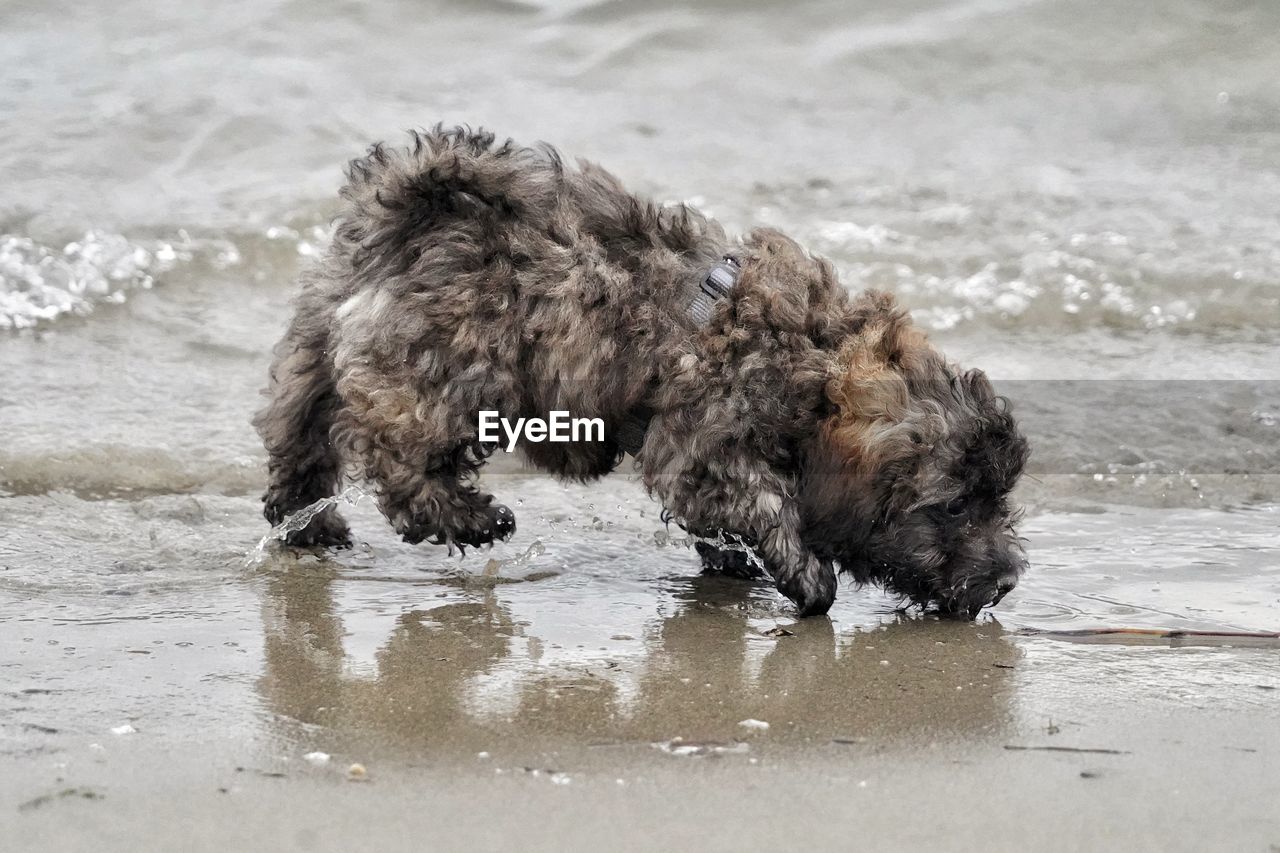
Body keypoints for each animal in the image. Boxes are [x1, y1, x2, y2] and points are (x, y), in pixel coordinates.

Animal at [252, 126, 1029, 614]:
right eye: (953, 507)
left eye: (997, 498)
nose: (1006, 583)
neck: (813, 360)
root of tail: (413, 214)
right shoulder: (705, 445)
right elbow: (765, 503)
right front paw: (807, 576)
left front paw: (736, 563)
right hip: (448, 372)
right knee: (400, 463)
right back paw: (470, 516)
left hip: (314, 342)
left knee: (298, 428)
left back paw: (307, 520)